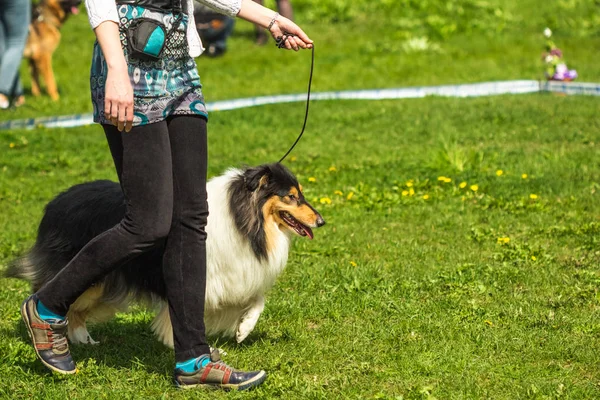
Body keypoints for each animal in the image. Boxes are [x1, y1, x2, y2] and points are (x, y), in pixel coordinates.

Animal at [5, 162, 324, 346]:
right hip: (90, 280)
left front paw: (243, 330)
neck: (243, 219)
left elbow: (257, 299)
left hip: (103, 287)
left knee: (74, 309)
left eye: (300, 194)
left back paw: (82, 339)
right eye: (291, 196)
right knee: (49, 294)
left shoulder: (232, 275)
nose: (321, 221)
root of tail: (55, 203)